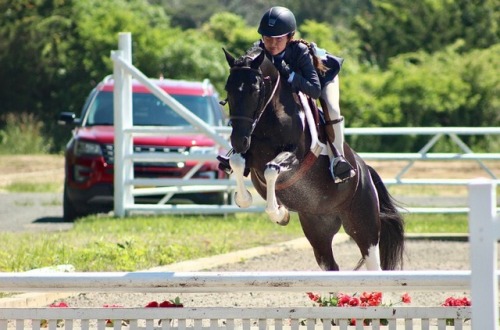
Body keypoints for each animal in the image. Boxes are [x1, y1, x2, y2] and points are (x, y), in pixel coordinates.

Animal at [221, 47, 404, 270]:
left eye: (254, 90)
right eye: (228, 89)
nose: (238, 140)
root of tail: (365, 170)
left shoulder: (294, 156)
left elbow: (271, 169)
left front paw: (279, 213)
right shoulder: (249, 156)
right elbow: (237, 163)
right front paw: (247, 200)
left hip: (364, 226)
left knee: (372, 261)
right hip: (318, 229)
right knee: (330, 265)